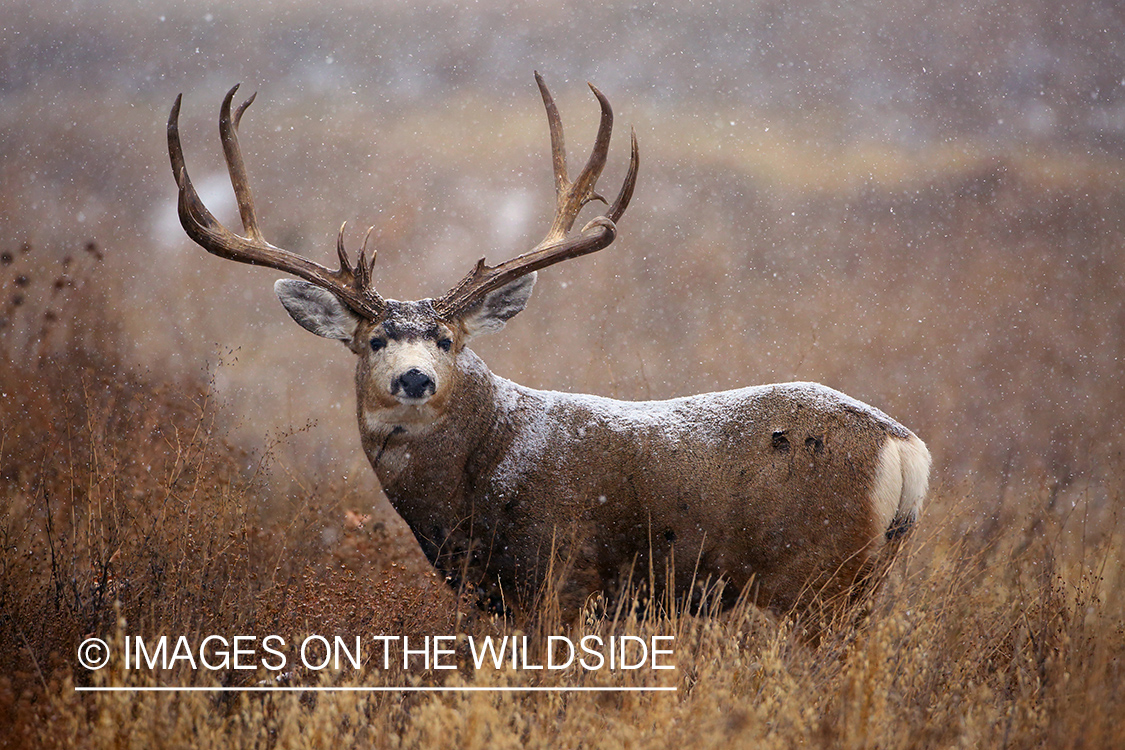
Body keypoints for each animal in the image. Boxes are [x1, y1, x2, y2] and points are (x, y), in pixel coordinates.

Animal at [166, 74, 931, 629]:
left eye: (446, 338)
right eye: (374, 339)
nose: (413, 380)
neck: (480, 473)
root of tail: (904, 447)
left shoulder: (558, 577)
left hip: (815, 579)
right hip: (855, 582)